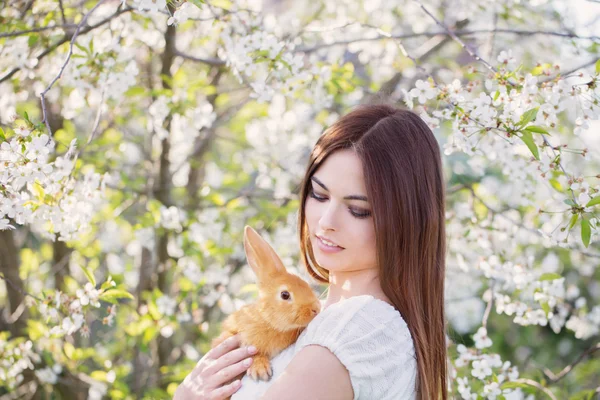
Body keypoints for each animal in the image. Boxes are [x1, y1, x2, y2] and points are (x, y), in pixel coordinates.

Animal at [212, 225, 324, 384]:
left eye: (306, 285)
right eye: (285, 295)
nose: (316, 308)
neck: (268, 320)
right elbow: (252, 353)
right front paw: (260, 370)